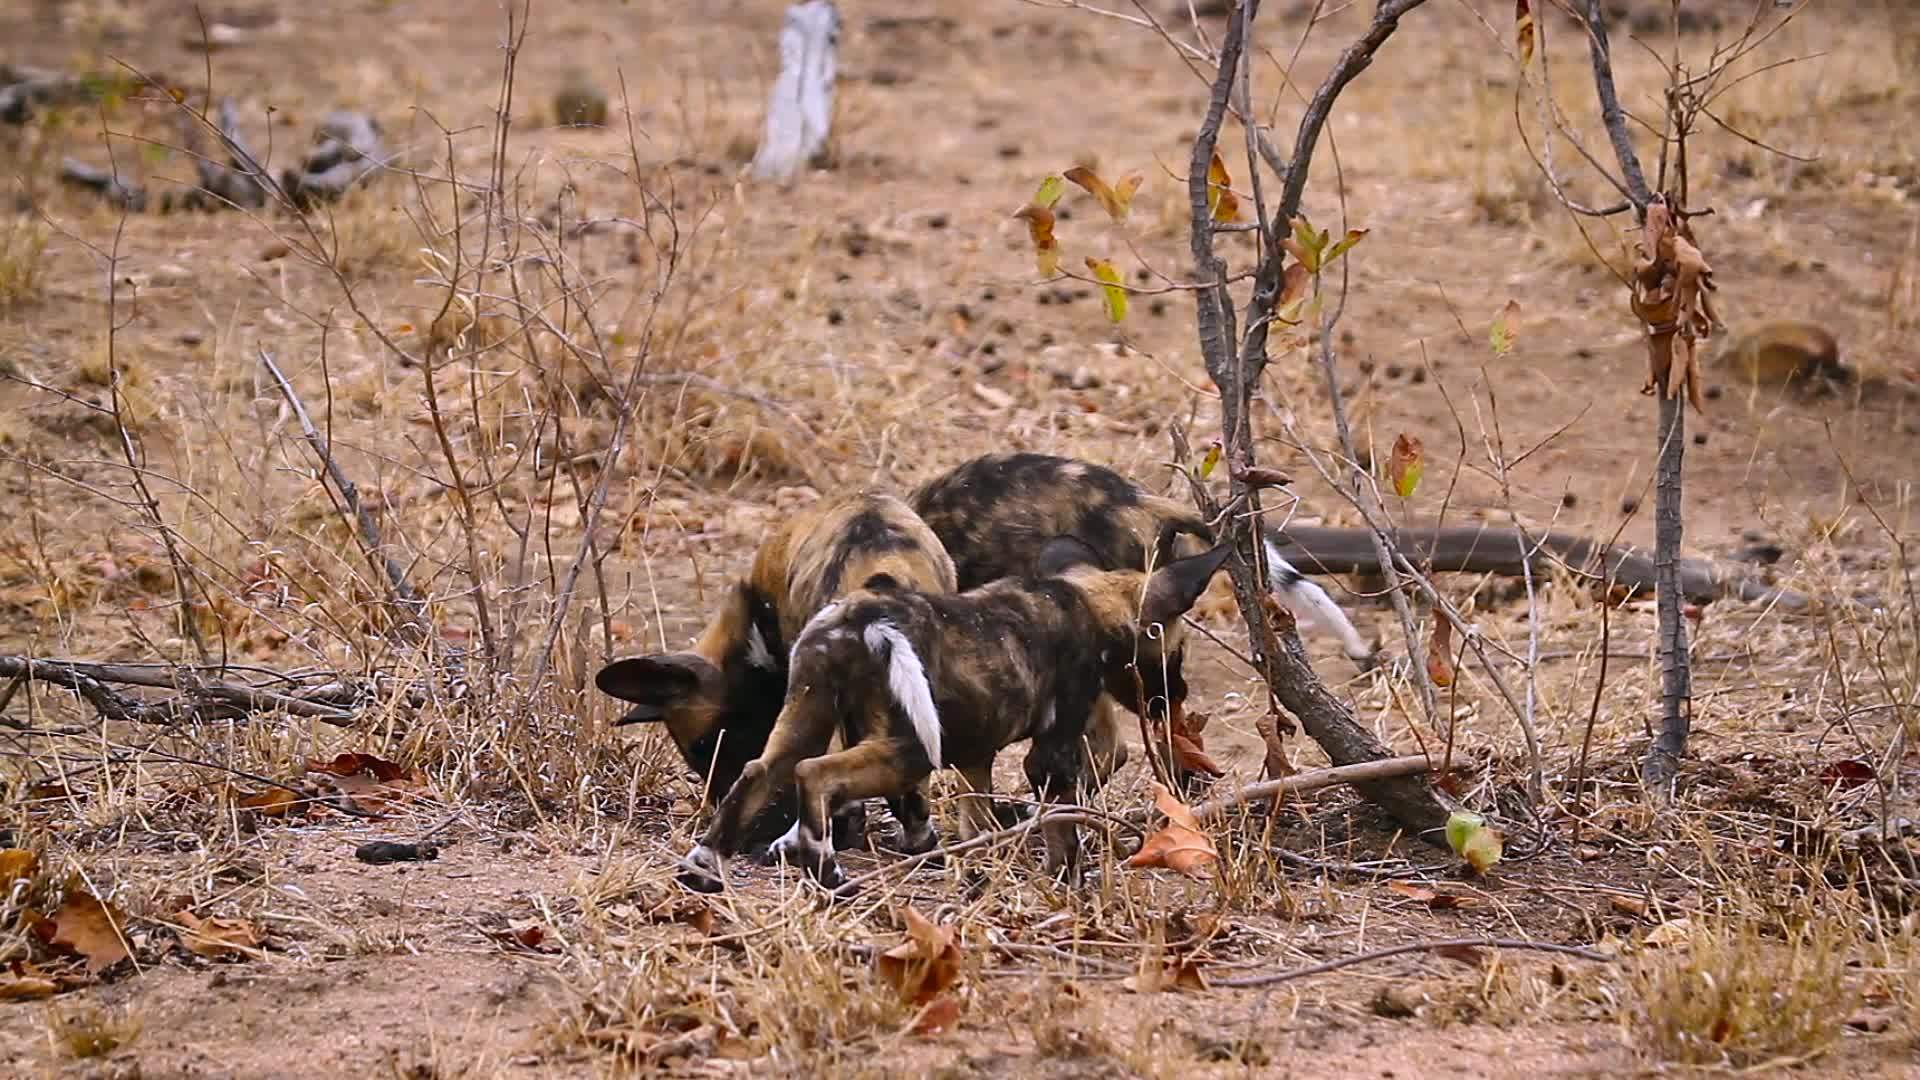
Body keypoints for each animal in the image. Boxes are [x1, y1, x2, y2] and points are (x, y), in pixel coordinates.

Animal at [683, 530, 1236, 891]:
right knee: (813, 773)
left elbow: (978, 827)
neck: (1089, 603)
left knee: (760, 771)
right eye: (1175, 650)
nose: (1174, 693)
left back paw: (703, 868)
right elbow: (1064, 830)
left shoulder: (976, 759)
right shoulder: (1052, 758)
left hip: (806, 716)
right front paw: (1068, 886)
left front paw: (975, 878)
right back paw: (827, 873)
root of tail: (863, 616)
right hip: (907, 752)